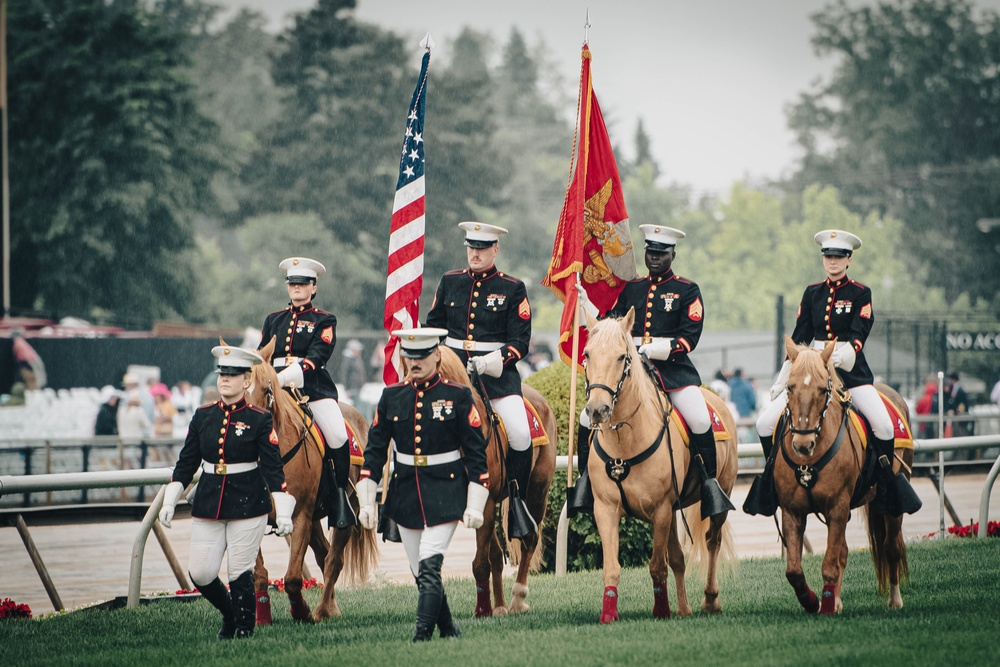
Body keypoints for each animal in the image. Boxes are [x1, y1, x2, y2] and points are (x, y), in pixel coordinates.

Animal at [246, 340, 378, 628]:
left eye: (267, 390)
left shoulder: (300, 515)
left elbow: (293, 578)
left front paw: (302, 612)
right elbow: (259, 575)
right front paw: (262, 619)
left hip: (346, 511)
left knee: (334, 560)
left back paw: (322, 610)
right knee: (324, 555)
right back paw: (331, 607)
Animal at [406, 348, 564, 620]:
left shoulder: (487, 501)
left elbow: (481, 563)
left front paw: (483, 610)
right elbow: (490, 558)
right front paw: (490, 607)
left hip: (537, 492)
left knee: (529, 540)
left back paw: (518, 598)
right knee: (499, 555)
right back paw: (500, 604)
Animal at [584, 310, 740, 624]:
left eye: (621, 357)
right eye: (587, 355)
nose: (597, 410)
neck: (625, 441)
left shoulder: (661, 510)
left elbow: (657, 564)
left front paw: (661, 610)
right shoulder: (606, 509)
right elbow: (612, 566)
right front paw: (608, 613)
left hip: (718, 497)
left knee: (712, 541)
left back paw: (709, 599)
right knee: (679, 557)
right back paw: (684, 607)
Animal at [776, 340, 912, 616]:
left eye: (822, 389)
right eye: (789, 387)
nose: (802, 445)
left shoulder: (837, 507)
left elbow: (830, 564)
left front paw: (826, 605)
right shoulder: (792, 511)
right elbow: (794, 570)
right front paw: (812, 600)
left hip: (892, 505)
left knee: (891, 547)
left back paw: (894, 600)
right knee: (843, 552)